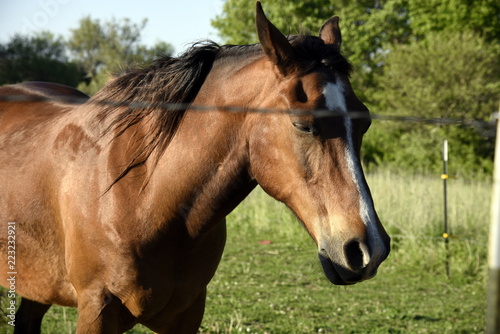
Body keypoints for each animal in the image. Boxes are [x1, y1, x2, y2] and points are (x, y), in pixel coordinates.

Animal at [0, 3, 388, 334]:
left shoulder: (187, 313)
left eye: (365, 121)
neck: (143, 197)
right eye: (304, 125)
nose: (370, 248)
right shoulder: (97, 309)